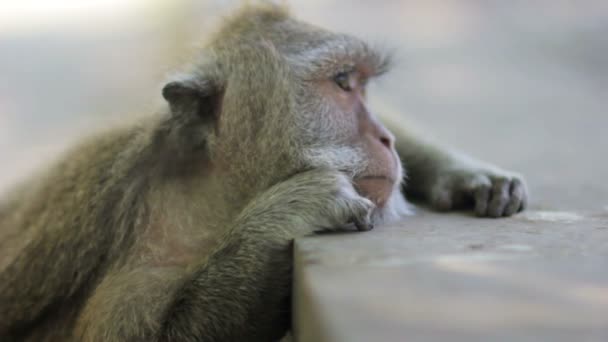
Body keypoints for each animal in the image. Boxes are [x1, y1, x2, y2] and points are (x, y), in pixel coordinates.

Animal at [0, 3, 528, 342]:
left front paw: (463, 174)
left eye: (361, 85)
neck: (215, 194)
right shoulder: (139, 250)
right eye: (342, 82)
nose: (386, 140)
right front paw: (286, 213)